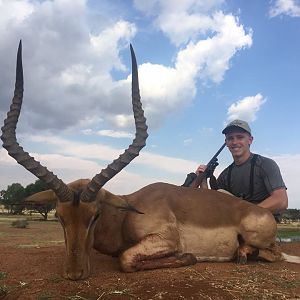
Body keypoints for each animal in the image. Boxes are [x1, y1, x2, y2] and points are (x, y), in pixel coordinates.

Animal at [1, 41, 298, 280]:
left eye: (95, 215)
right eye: (60, 217)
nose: (74, 274)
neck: (127, 212)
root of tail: (259, 211)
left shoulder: (165, 239)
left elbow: (127, 259)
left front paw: (187, 257)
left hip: (259, 238)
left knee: (274, 253)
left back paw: (242, 255)